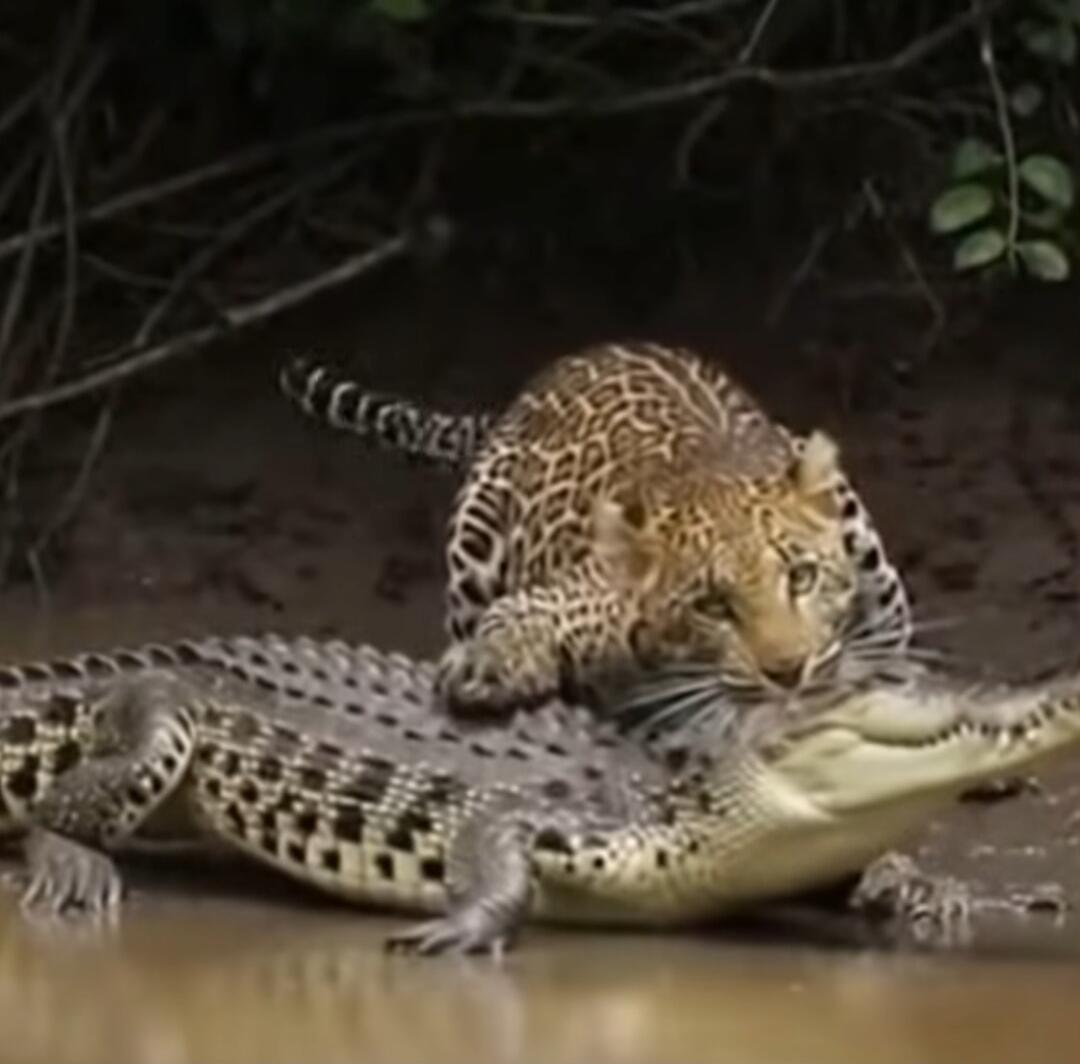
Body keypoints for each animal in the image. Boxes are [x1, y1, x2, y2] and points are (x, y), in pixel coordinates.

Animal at [281, 341, 911, 721]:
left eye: (802, 577)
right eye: (712, 606)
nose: (788, 673)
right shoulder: (584, 593)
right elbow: (519, 613)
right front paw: (491, 664)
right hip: (473, 544)